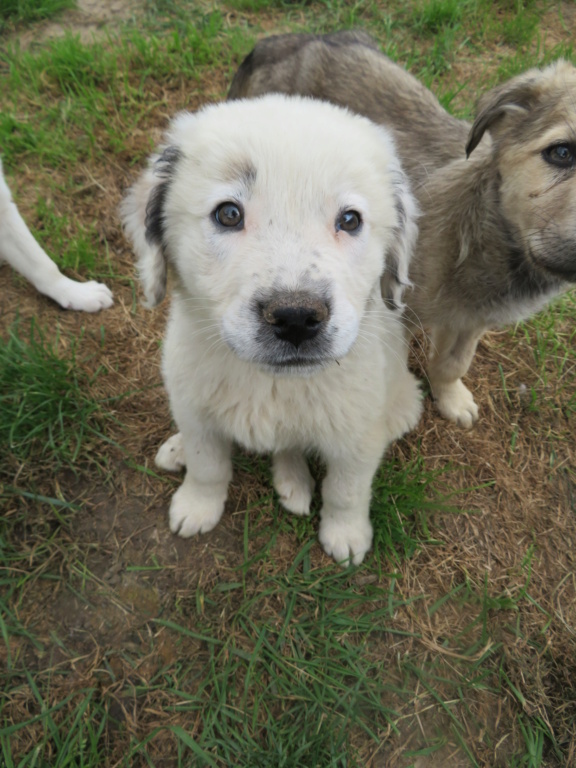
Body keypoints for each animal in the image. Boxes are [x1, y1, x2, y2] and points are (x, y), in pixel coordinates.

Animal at [122, 94, 418, 564]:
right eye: (228, 214)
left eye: (350, 220)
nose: (296, 317)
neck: (271, 385)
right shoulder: (194, 405)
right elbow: (208, 465)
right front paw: (196, 507)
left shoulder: (357, 435)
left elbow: (346, 490)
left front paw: (346, 536)